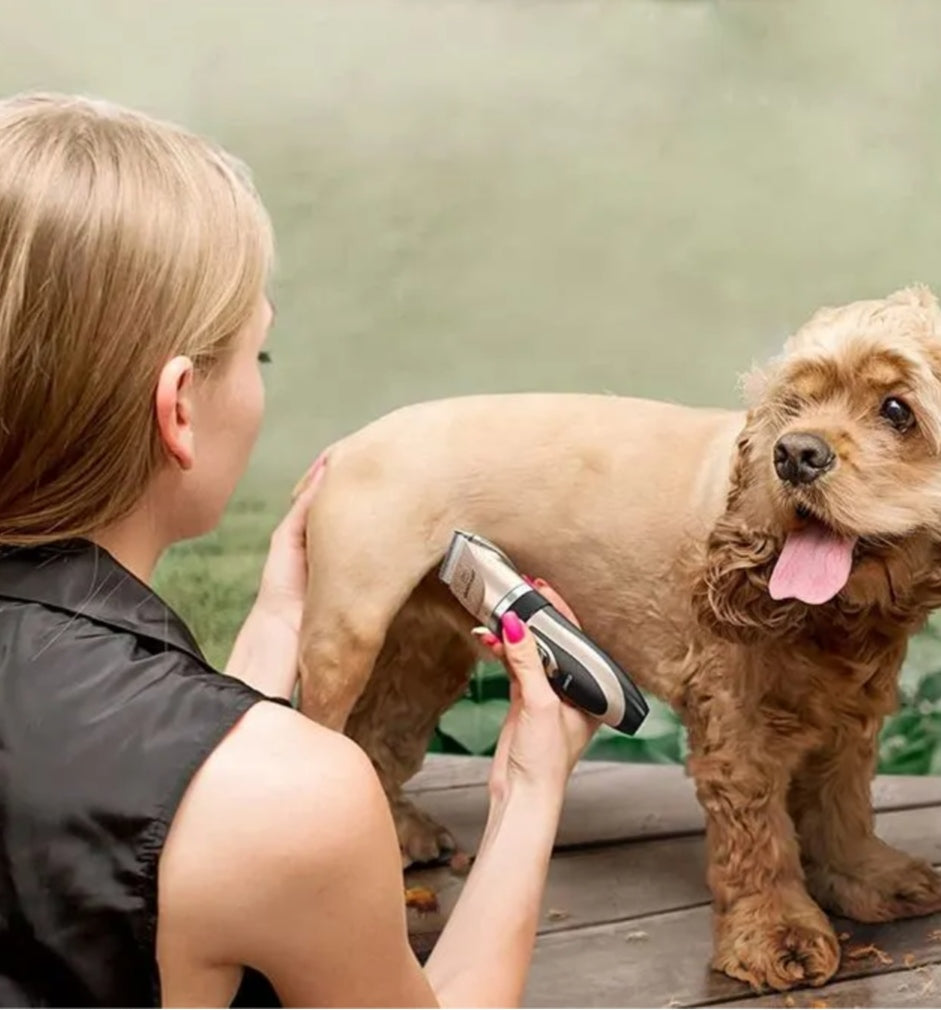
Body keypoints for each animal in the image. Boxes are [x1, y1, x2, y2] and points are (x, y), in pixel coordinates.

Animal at [296, 286, 941, 993]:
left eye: (897, 410)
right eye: (794, 406)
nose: (794, 454)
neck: (838, 617)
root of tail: (344, 447)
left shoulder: (848, 711)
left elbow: (842, 803)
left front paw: (868, 880)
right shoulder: (734, 719)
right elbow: (760, 836)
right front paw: (777, 934)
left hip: (426, 651)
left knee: (378, 735)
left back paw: (402, 831)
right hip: (347, 635)